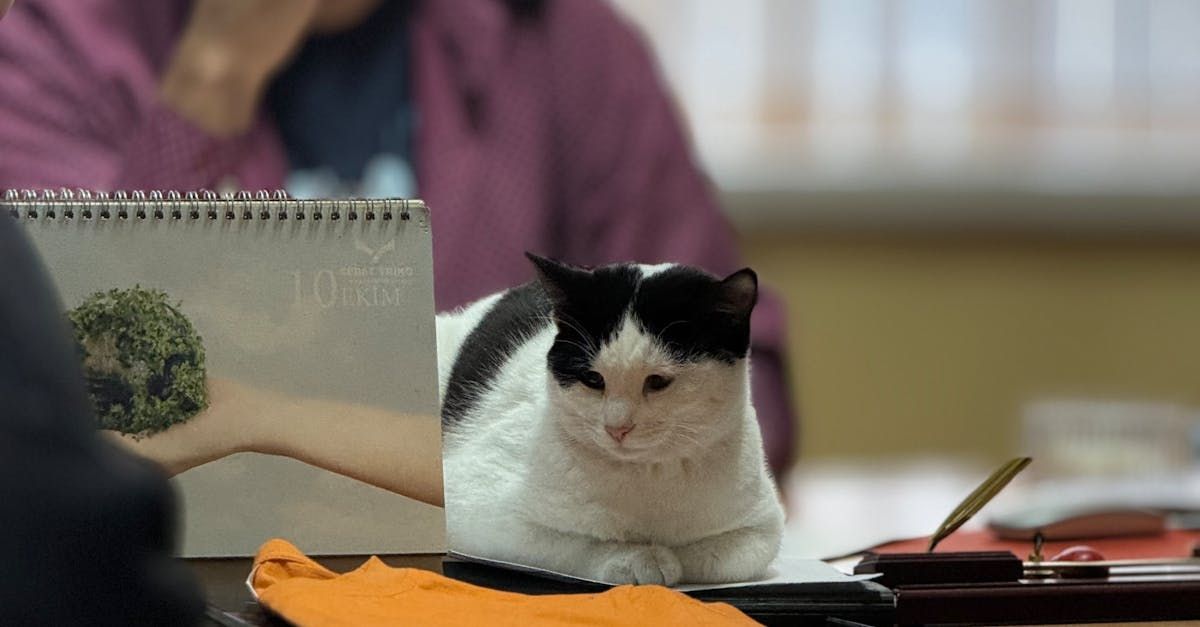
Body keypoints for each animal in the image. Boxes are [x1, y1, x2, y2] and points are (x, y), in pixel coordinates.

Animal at [436, 252, 782, 581]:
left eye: (657, 381)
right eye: (593, 379)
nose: (617, 427)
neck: (649, 480)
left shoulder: (764, 526)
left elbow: (721, 558)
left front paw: (672, 555)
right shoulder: (475, 507)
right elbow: (571, 542)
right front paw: (637, 557)